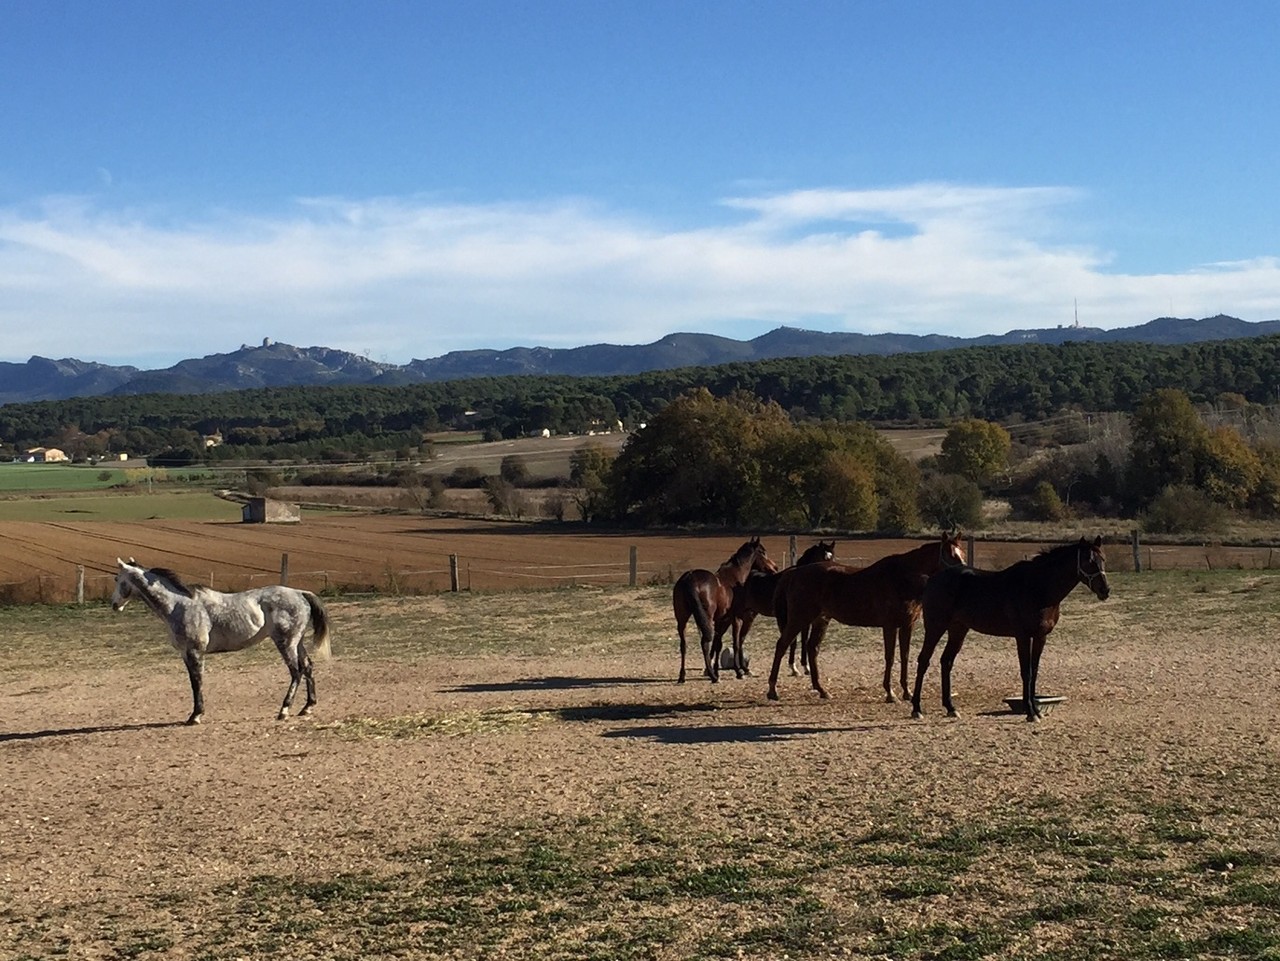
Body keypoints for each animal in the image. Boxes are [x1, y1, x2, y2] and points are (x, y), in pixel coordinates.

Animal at [110, 560, 332, 726]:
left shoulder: (194, 652)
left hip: (285, 643)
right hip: (297, 642)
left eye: (118, 579)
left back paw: (284, 710)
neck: (178, 605)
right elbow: (194, 682)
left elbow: (196, 682)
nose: (114, 605)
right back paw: (307, 707)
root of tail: (300, 593)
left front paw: (195, 716)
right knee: (308, 667)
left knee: (296, 671)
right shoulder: (185, 653)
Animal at [675, 542, 773, 685]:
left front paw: (716, 670)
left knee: (683, 645)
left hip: (682, 618)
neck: (735, 578)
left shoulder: (722, 620)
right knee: (705, 643)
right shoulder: (736, 618)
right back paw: (713, 677)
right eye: (763, 552)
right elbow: (735, 643)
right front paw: (738, 671)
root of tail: (689, 577)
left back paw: (682, 676)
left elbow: (718, 644)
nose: (774, 568)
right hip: (706, 618)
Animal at [732, 542, 839, 675]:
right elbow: (792, 641)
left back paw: (745, 669)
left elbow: (804, 640)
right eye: (823, 558)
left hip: (749, 615)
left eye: (833, 557)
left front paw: (805, 667)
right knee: (738, 639)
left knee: (741, 638)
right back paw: (741, 669)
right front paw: (793, 667)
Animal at [762, 529, 962, 701]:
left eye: (961, 553)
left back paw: (821, 690)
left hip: (821, 620)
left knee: (812, 648)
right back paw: (773, 690)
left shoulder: (907, 625)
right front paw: (890, 693)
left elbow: (904, 656)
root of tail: (795, 573)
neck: (902, 578)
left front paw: (907, 692)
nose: (962, 572)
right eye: (950, 554)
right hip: (799, 618)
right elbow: (890, 657)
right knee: (782, 645)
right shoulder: (889, 626)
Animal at [911, 534, 1111, 721]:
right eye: (1089, 561)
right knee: (924, 660)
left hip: (958, 629)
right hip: (935, 627)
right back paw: (916, 709)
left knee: (946, 661)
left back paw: (951, 708)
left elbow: (1034, 671)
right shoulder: (1022, 636)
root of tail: (933, 579)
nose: (1105, 590)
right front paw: (1030, 713)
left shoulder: (1040, 636)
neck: (1038, 588)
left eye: (1103, 559)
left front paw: (1037, 710)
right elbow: (1026, 672)